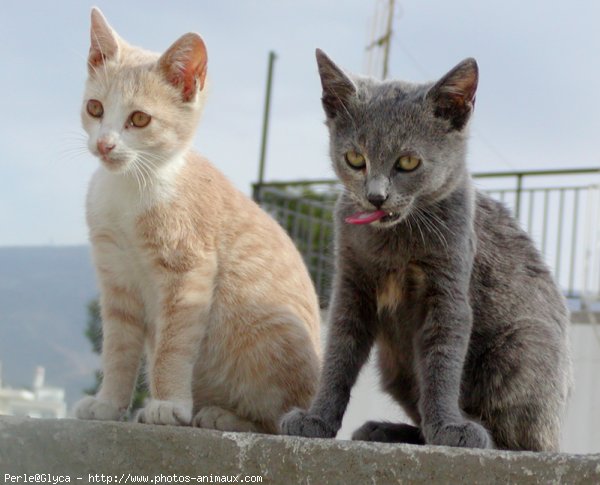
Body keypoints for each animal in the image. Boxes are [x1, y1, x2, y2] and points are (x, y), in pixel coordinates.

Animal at [74, 6, 324, 432]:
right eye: (95, 108)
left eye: (139, 119)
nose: (105, 145)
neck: (132, 187)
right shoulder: (116, 276)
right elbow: (118, 348)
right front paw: (108, 403)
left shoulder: (189, 271)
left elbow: (172, 346)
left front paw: (167, 404)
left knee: (277, 419)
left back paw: (222, 415)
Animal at [282, 49, 572, 450]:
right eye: (355, 159)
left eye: (408, 162)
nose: (375, 197)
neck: (393, 243)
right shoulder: (352, 282)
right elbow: (339, 352)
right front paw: (317, 419)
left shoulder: (448, 287)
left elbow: (442, 362)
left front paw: (449, 428)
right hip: (395, 365)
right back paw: (386, 430)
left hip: (522, 348)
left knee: (520, 441)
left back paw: (471, 432)